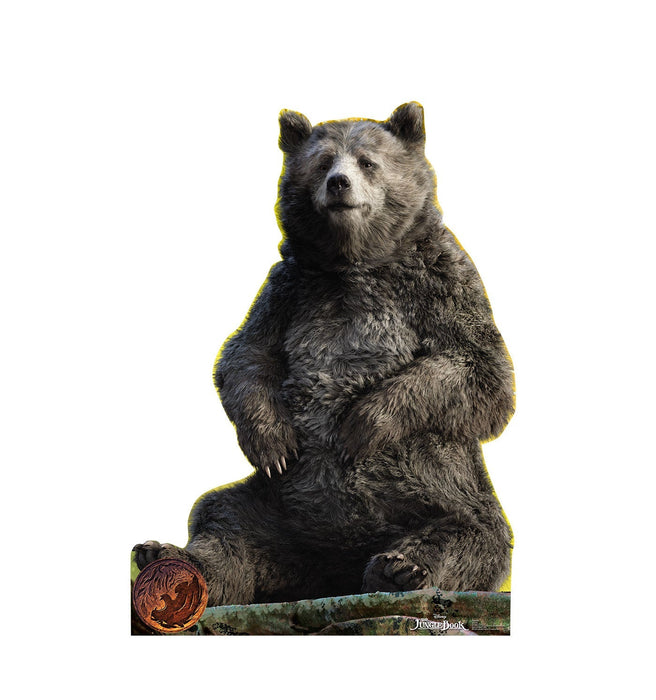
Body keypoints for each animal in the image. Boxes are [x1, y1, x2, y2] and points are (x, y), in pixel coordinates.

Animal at [134, 102, 515, 608]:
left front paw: (361, 424)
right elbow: (245, 356)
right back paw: (167, 557)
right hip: (275, 503)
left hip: (443, 488)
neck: (353, 263)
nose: (339, 184)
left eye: (368, 162)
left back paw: (399, 569)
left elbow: (481, 371)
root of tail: (331, 571)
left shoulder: (439, 279)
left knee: (470, 534)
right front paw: (273, 444)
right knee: (221, 520)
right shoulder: (289, 290)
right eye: (322, 162)